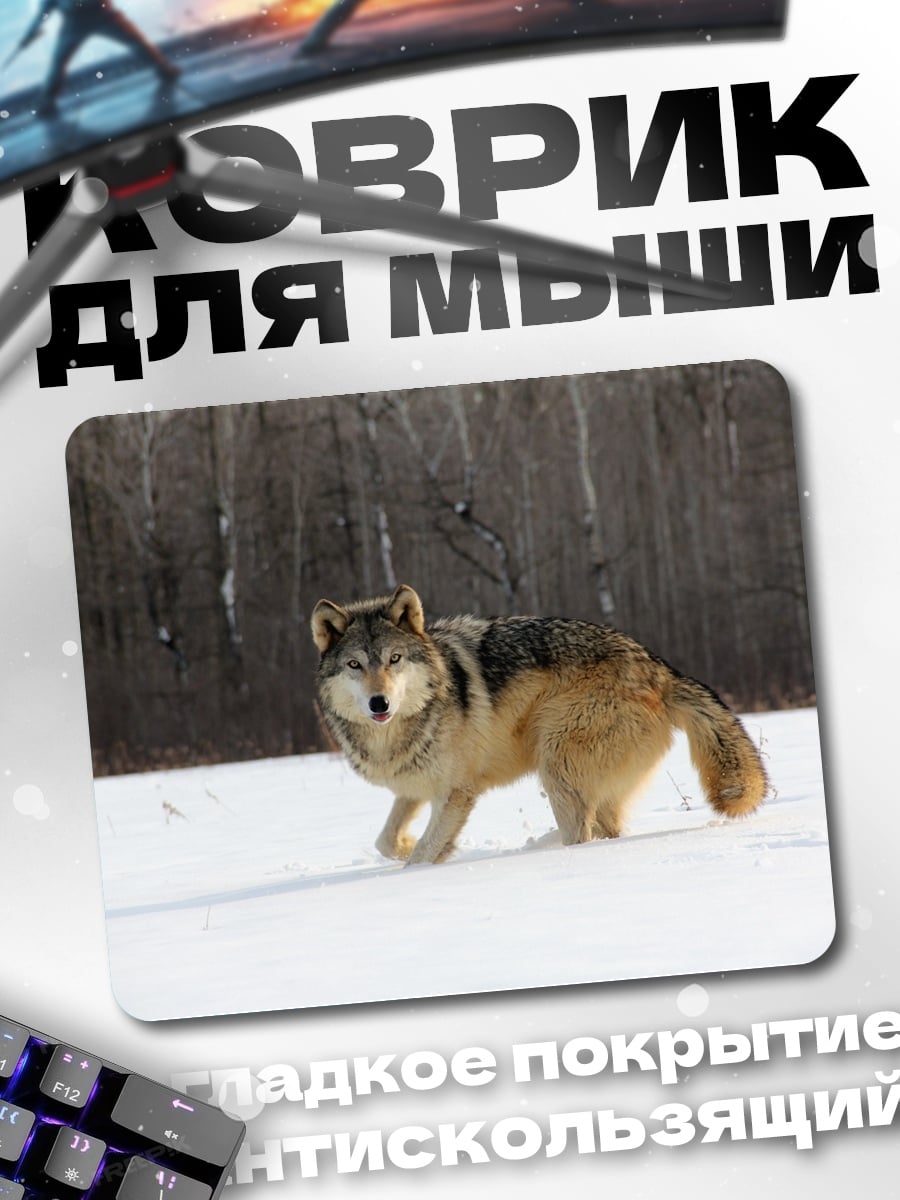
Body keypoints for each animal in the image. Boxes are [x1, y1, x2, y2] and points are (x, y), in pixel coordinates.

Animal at [311, 585, 768, 865]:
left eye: (394, 659)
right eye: (355, 665)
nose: (379, 702)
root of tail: (660, 670)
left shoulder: (456, 793)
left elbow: (424, 854)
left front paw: (418, 863)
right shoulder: (413, 786)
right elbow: (386, 840)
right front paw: (406, 847)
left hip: (556, 763)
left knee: (581, 835)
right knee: (605, 830)